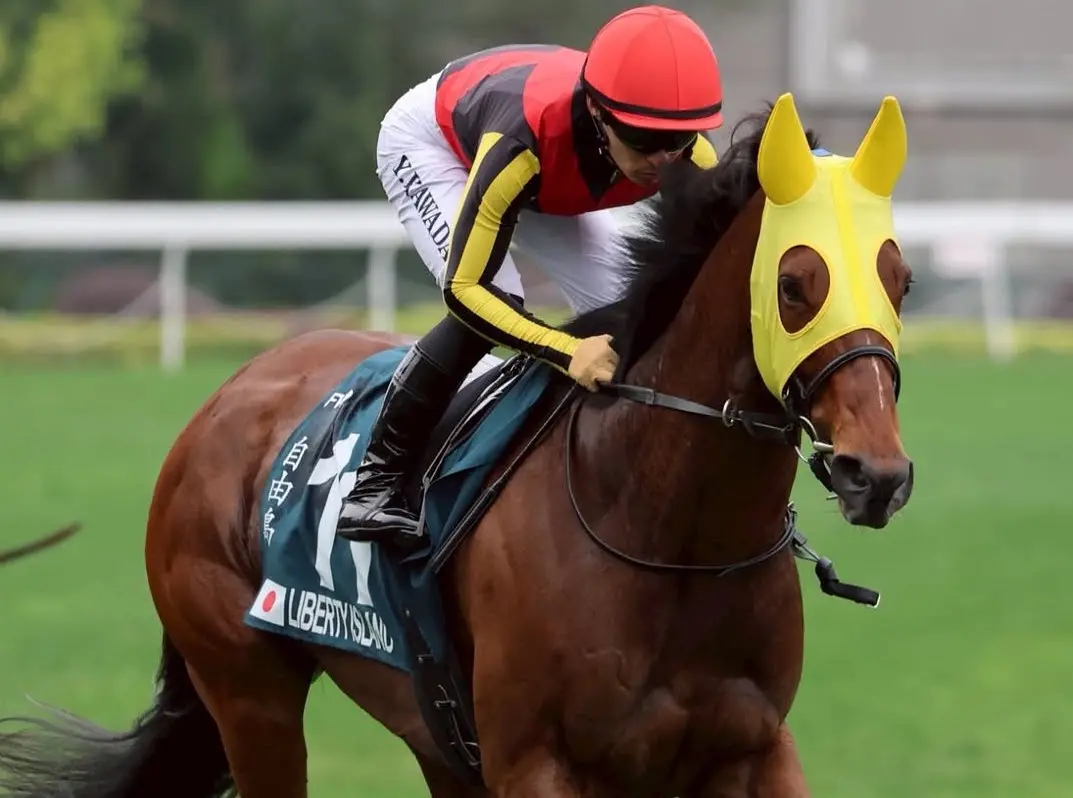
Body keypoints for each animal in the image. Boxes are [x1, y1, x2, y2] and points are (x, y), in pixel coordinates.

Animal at [0, 93, 914, 797]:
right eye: (794, 285)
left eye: (899, 280)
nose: (875, 474)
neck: (667, 532)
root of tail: (222, 400)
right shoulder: (535, 761)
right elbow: (471, 292)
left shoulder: (751, 746)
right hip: (248, 692)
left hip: (427, 729)